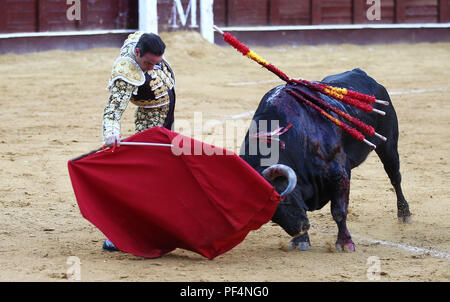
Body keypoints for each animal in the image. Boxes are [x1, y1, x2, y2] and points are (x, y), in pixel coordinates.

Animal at [239, 68, 412, 252]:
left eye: (283, 199)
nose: (300, 228)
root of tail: (362, 74)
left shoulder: (339, 173)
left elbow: (338, 210)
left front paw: (345, 243)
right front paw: (301, 240)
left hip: (388, 145)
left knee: (395, 177)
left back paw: (404, 214)